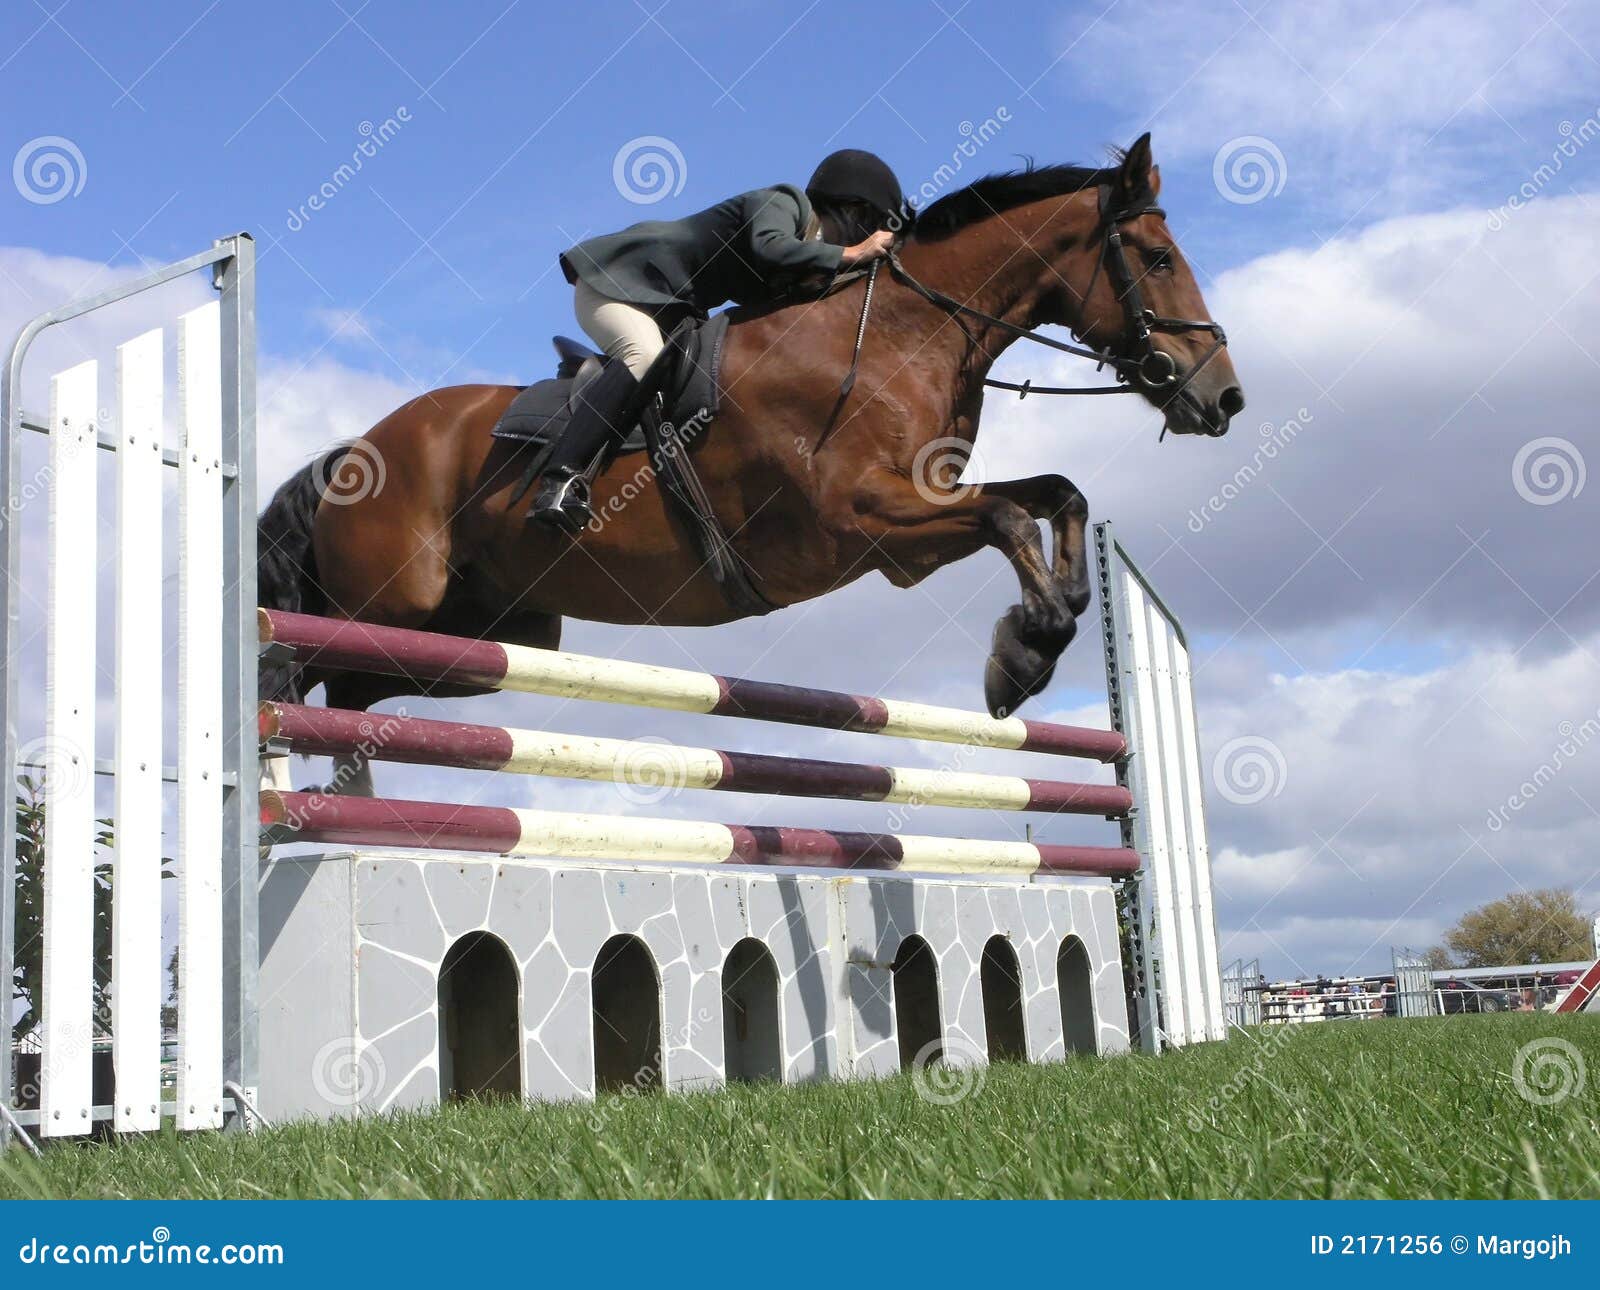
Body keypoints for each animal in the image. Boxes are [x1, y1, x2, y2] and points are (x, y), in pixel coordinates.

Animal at [259, 136, 1235, 793]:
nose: (1224, 399)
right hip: (391, 607)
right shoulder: (859, 520)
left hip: (482, 641)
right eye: (1157, 258)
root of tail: (357, 449)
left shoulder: (917, 516)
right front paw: (1024, 653)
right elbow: (1003, 514)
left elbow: (1054, 494)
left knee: (345, 692)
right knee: (291, 666)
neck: (899, 333)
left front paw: (1045, 624)